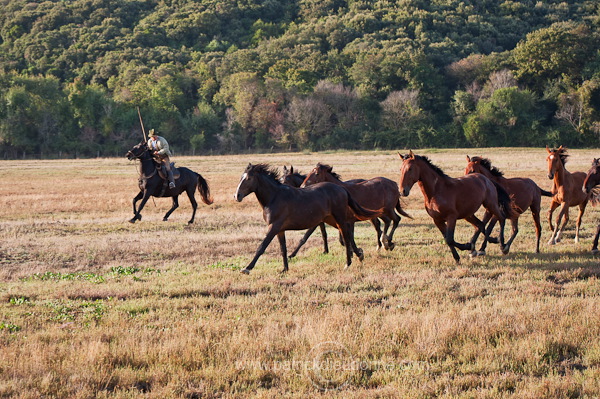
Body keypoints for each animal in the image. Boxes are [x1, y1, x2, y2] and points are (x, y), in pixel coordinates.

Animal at [233, 163, 376, 276]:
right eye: (240, 177)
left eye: (249, 178)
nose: (237, 196)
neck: (274, 197)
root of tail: (342, 189)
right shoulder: (280, 229)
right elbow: (283, 249)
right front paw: (285, 269)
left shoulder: (274, 226)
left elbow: (262, 246)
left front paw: (247, 268)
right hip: (331, 219)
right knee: (347, 235)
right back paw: (359, 255)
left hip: (339, 218)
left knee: (346, 236)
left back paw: (348, 262)